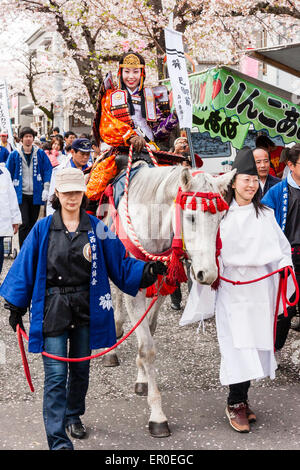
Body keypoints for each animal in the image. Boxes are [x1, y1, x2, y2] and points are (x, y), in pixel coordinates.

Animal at [101, 163, 234, 436]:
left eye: (219, 219)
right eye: (191, 217)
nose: (207, 274)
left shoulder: (162, 286)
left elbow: (149, 330)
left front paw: (142, 377)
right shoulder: (135, 289)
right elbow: (147, 348)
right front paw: (158, 415)